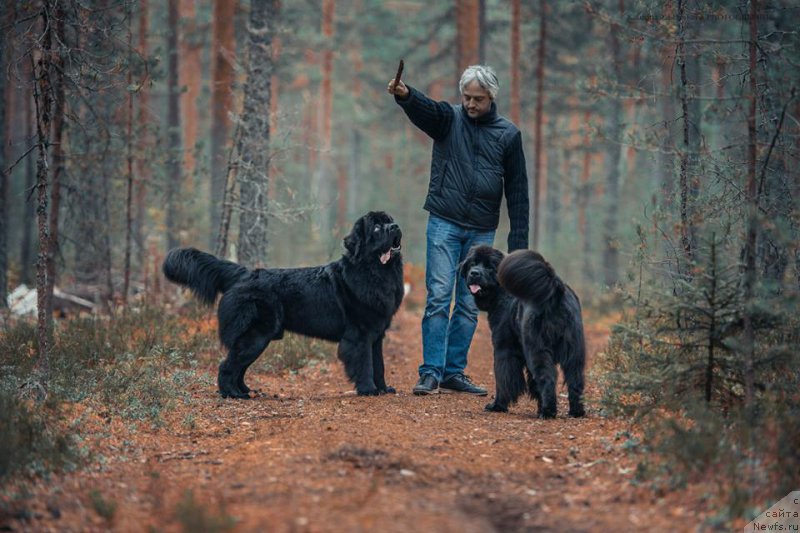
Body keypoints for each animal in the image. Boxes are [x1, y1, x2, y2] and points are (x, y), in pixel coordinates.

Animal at [162, 210, 404, 396]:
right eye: (376, 228)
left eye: (390, 220)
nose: (395, 226)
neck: (375, 272)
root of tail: (244, 273)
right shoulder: (359, 335)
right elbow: (365, 364)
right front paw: (368, 389)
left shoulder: (376, 335)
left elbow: (379, 365)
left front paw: (384, 389)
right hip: (257, 334)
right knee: (228, 365)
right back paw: (232, 394)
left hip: (259, 337)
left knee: (239, 366)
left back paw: (245, 390)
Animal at [460, 244, 584, 416]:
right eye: (473, 263)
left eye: (489, 267)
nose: (474, 273)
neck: (501, 293)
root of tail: (556, 291)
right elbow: (533, 382)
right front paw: (538, 405)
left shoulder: (504, 349)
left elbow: (504, 378)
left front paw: (497, 405)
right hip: (573, 348)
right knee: (575, 378)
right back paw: (576, 411)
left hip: (537, 348)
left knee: (547, 377)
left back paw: (548, 412)